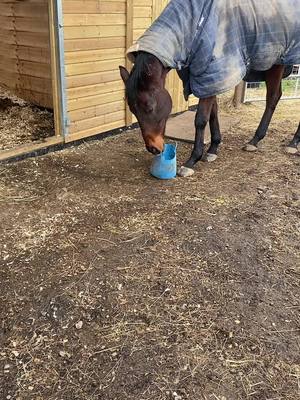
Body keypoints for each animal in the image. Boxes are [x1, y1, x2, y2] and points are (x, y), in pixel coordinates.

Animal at [119, 0, 300, 177]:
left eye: (149, 108)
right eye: (133, 110)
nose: (153, 148)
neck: (194, 23)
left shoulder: (210, 74)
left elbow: (201, 119)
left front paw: (192, 160)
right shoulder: (210, 81)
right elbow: (213, 114)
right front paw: (213, 149)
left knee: (272, 98)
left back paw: (291, 143)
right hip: (276, 63)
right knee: (275, 96)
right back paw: (256, 140)